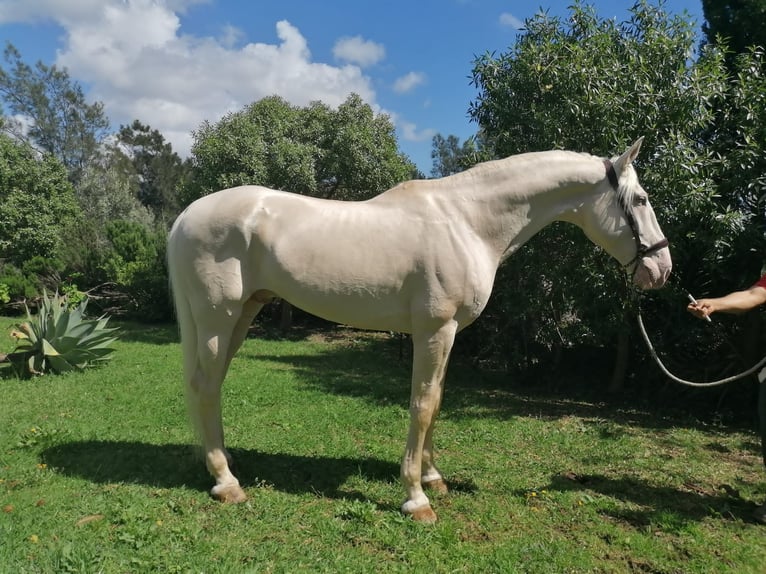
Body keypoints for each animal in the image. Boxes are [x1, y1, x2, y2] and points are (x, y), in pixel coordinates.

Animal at [168, 137, 672, 524]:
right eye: (642, 200)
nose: (662, 269)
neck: (467, 222)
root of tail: (187, 216)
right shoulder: (434, 331)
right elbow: (423, 405)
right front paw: (416, 498)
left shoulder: (448, 335)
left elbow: (438, 401)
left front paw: (433, 477)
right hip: (217, 319)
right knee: (205, 386)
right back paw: (227, 483)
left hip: (240, 316)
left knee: (208, 386)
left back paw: (222, 462)